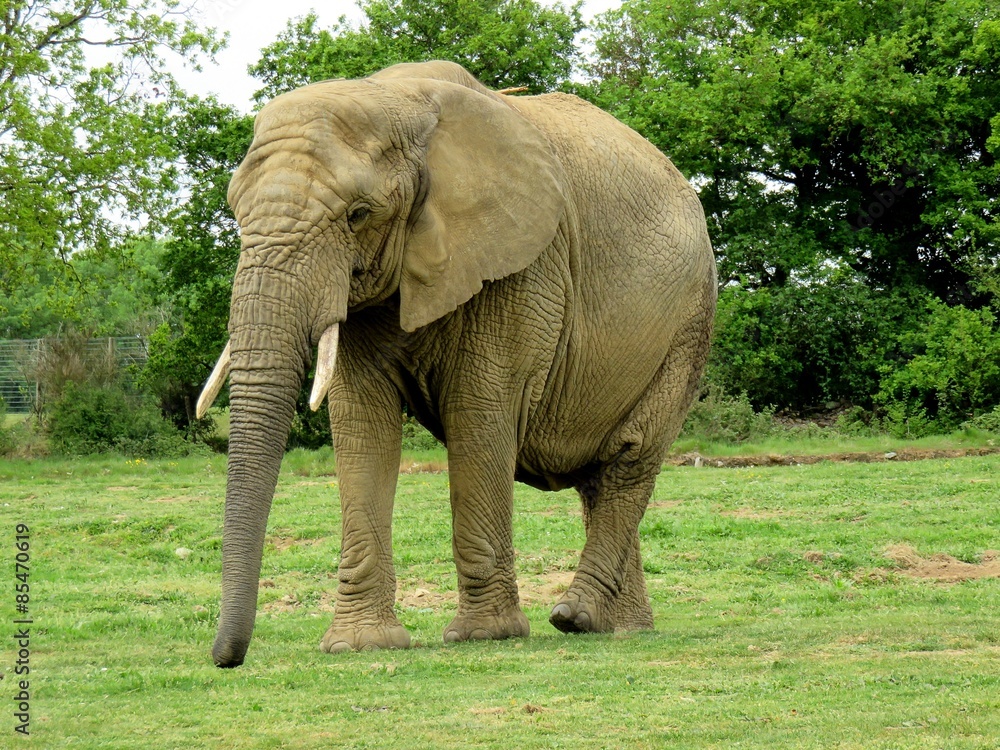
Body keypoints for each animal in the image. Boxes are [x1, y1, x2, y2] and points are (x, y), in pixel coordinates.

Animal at [197, 60, 717, 668]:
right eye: (235, 211)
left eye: (358, 215)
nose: (226, 659)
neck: (397, 101)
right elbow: (361, 424)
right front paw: (358, 645)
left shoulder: (523, 266)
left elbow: (478, 410)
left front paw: (483, 636)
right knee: (599, 479)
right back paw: (621, 629)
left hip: (689, 321)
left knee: (631, 458)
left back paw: (575, 617)